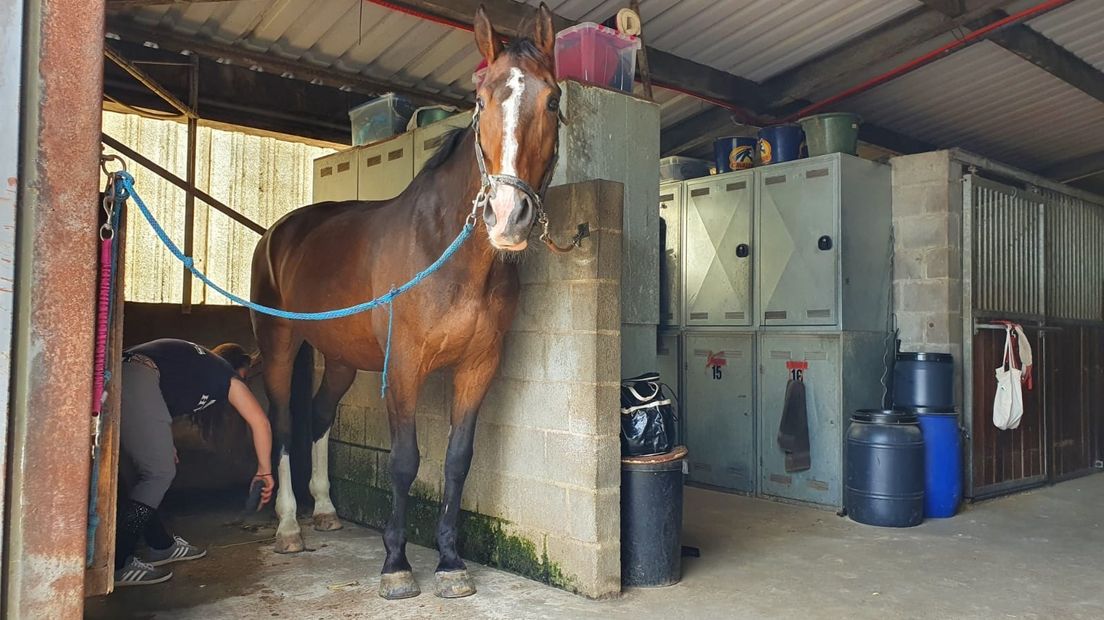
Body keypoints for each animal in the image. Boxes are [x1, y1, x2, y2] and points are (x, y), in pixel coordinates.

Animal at [250, 2, 560, 595]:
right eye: (480, 101)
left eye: (553, 99)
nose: (507, 217)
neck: (443, 249)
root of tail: (280, 231)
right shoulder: (405, 366)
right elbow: (404, 461)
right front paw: (396, 563)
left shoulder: (478, 366)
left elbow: (457, 461)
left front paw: (451, 562)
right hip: (280, 344)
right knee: (283, 423)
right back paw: (288, 527)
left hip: (342, 358)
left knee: (319, 416)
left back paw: (325, 510)